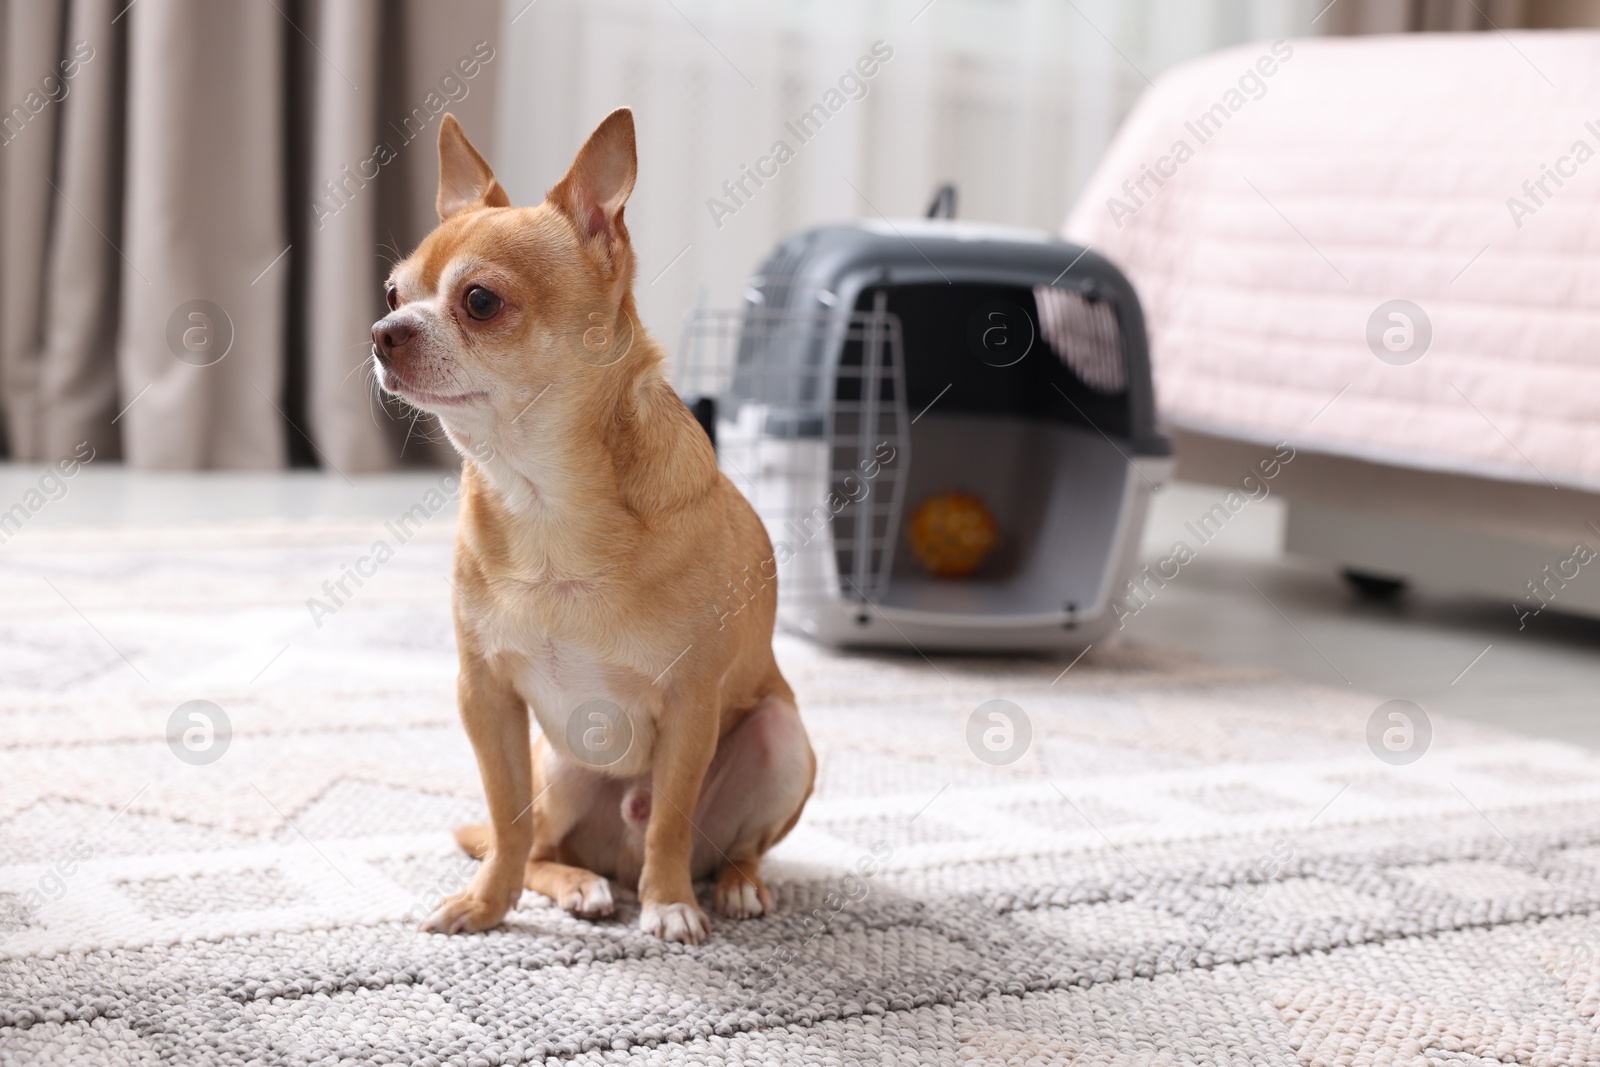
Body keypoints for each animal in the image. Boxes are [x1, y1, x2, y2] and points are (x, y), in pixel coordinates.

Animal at [369, 108, 819, 940]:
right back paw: (578, 884)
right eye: (391, 291)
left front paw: (669, 903)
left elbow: (670, 817)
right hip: (561, 772)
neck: (544, 498)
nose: (384, 331)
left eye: (480, 301)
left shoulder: (691, 705)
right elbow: (504, 820)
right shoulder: (487, 697)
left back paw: (731, 885)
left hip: (783, 740)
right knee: (541, 843)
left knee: (721, 844)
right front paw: (485, 904)